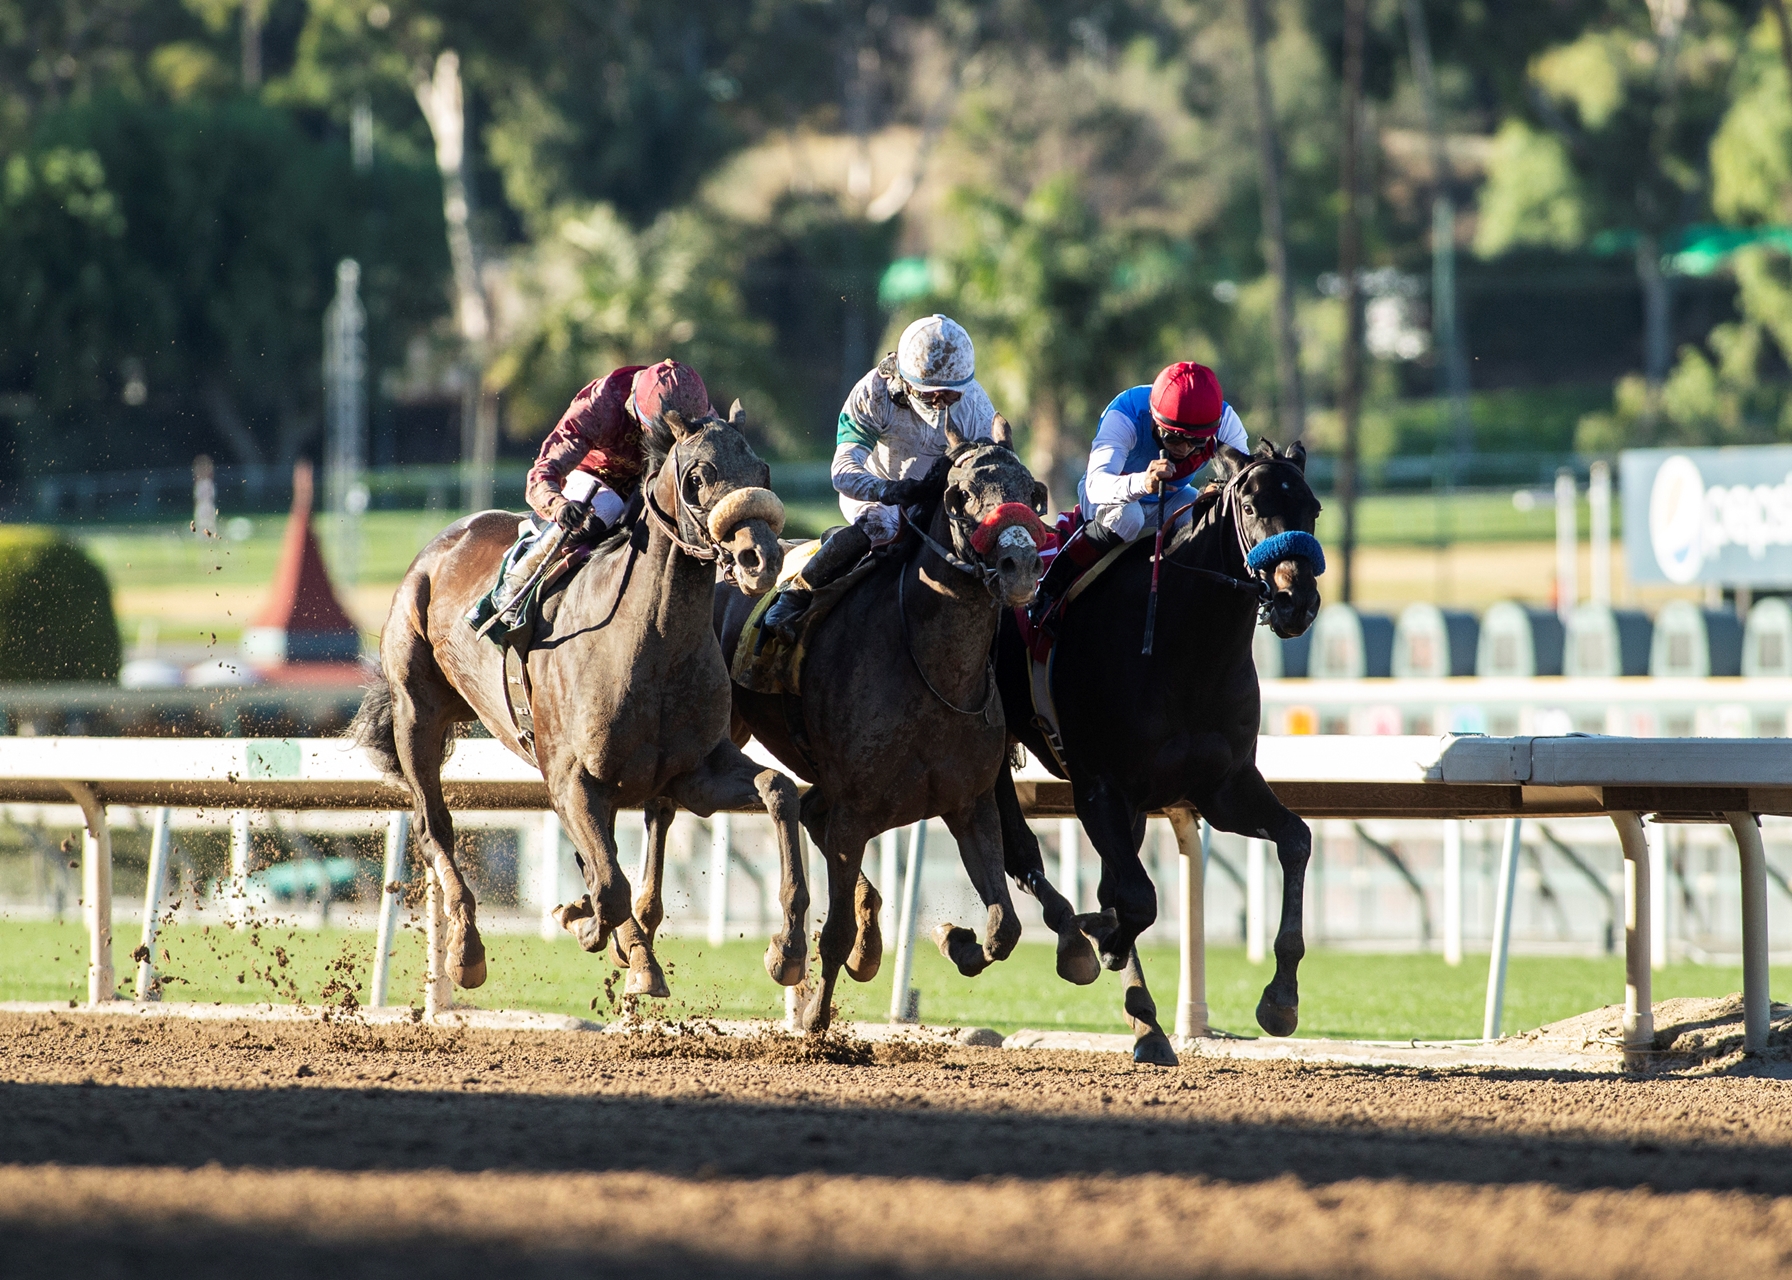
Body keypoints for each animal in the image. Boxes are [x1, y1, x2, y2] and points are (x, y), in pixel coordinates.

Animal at [351, 408, 813, 996]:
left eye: (763, 470)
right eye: (697, 477)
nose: (762, 559)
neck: (651, 641)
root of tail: (440, 545)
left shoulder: (694, 771)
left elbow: (779, 791)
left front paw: (787, 948)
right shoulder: (570, 776)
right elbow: (608, 885)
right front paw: (592, 927)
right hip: (418, 712)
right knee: (435, 829)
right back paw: (467, 949)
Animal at [713, 433, 1089, 1032]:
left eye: (1033, 491)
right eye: (960, 496)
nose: (1021, 565)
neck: (931, 670)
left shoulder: (968, 803)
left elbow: (1004, 927)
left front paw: (955, 939)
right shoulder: (855, 809)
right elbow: (834, 932)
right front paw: (815, 1018)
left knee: (807, 811)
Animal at [989, 444, 1326, 1061]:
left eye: (1311, 508)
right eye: (1249, 504)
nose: (1297, 601)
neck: (1186, 649)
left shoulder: (1221, 787)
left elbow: (1296, 839)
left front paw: (1280, 997)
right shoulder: (1099, 789)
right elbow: (1137, 899)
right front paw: (1104, 946)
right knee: (1018, 848)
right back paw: (1077, 943)